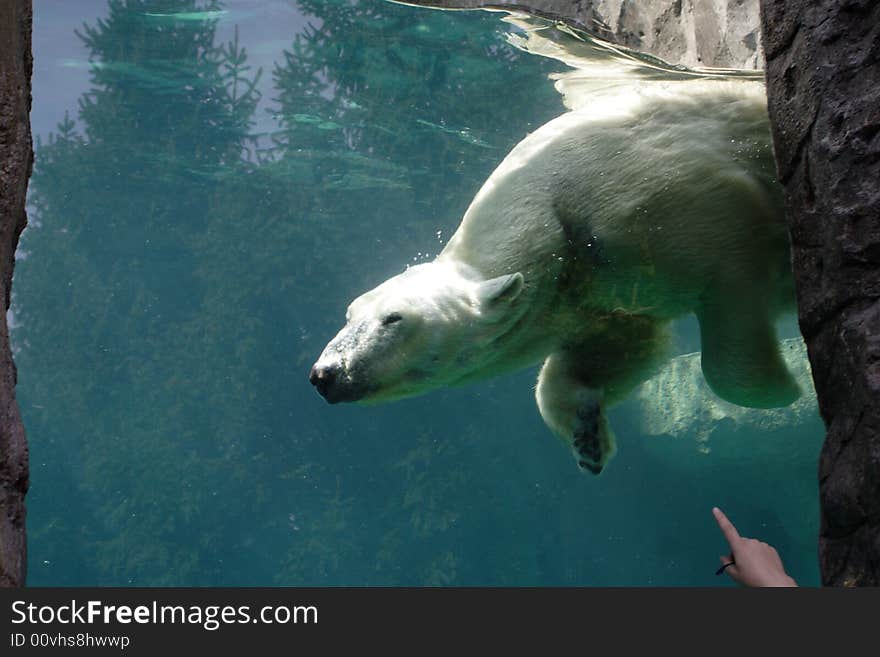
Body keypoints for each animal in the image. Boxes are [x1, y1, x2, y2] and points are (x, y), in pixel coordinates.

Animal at [310, 75, 796, 472]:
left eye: (394, 319)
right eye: (350, 313)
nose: (325, 374)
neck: (553, 210)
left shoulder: (660, 200)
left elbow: (732, 269)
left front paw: (780, 391)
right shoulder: (589, 290)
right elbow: (624, 344)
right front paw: (587, 437)